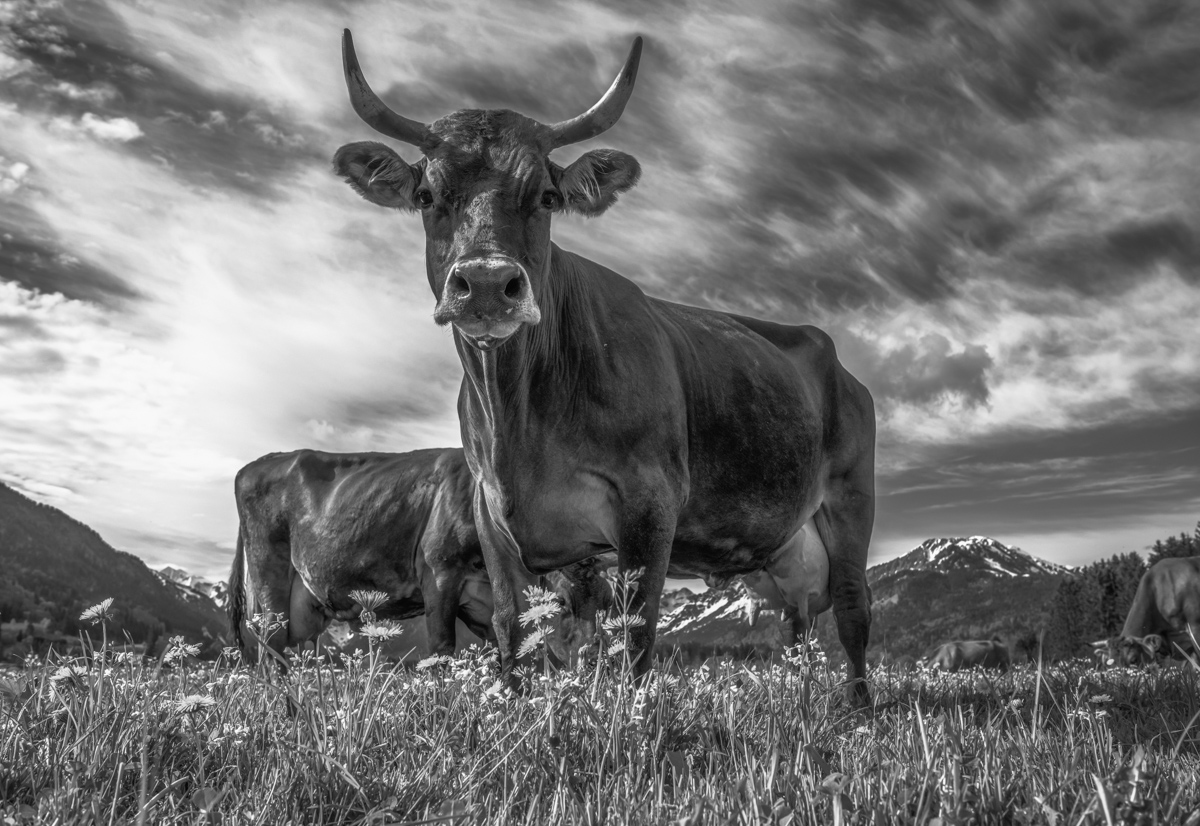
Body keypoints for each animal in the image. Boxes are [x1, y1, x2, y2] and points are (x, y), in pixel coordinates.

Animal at [228, 448, 610, 665]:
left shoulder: (482, 599)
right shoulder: (440, 573)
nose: (594, 655)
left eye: (606, 600)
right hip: (269, 583)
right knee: (271, 653)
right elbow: (443, 648)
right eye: (560, 601)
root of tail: (260, 462)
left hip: (303, 607)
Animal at [333, 31, 877, 705]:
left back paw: (858, 708)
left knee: (852, 608)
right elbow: (514, 624)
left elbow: (637, 627)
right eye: (428, 196)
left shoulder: (650, 500)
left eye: (545, 196)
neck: (519, 419)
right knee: (797, 625)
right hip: (786, 553)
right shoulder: (491, 509)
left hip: (851, 497)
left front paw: (634, 715)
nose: (486, 284)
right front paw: (511, 702)